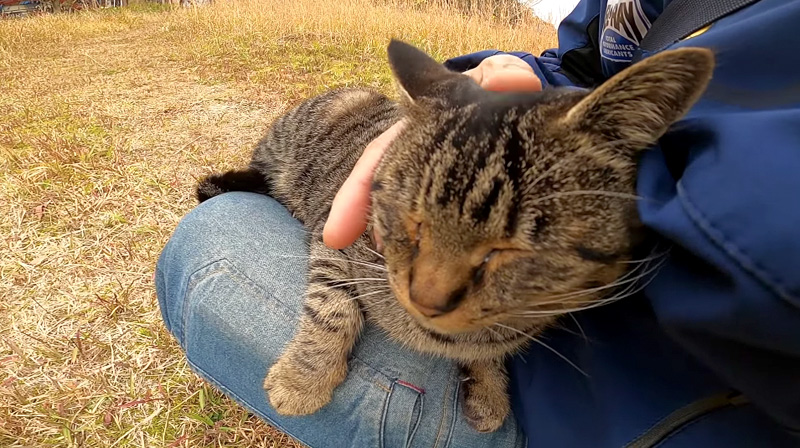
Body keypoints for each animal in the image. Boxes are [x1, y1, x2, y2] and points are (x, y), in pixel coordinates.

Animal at [197, 40, 716, 432]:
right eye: (412, 222)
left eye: (509, 250)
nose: (426, 299)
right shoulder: (334, 238)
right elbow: (332, 308)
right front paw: (303, 379)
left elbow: (489, 350)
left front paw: (488, 389)